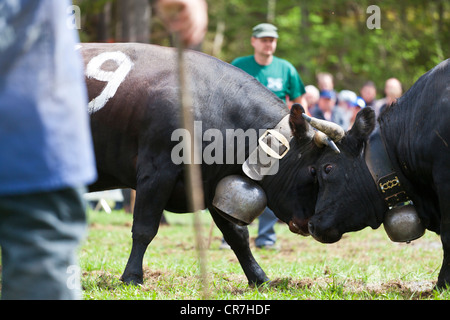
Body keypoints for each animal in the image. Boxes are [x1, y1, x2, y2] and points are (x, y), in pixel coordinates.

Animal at [81, 43, 336, 284]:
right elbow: (145, 228)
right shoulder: (156, 171)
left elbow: (238, 236)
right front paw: (132, 276)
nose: (315, 225)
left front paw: (259, 278)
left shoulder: (214, 184)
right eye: (313, 170)